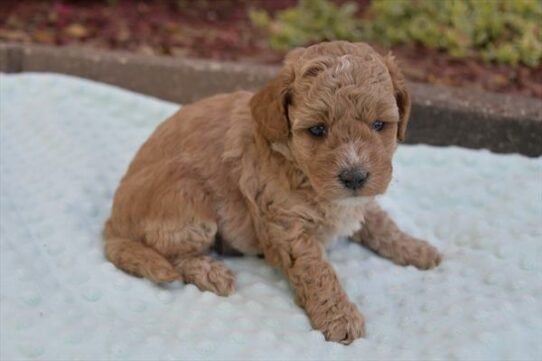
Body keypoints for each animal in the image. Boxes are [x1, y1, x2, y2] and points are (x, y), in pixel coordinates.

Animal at [105, 40, 442, 342]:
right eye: (317, 129)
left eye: (379, 124)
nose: (355, 177)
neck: (298, 167)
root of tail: (111, 224)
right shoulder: (286, 225)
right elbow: (315, 269)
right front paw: (339, 315)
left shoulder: (358, 200)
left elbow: (381, 224)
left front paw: (416, 249)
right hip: (189, 201)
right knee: (166, 250)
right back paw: (210, 271)